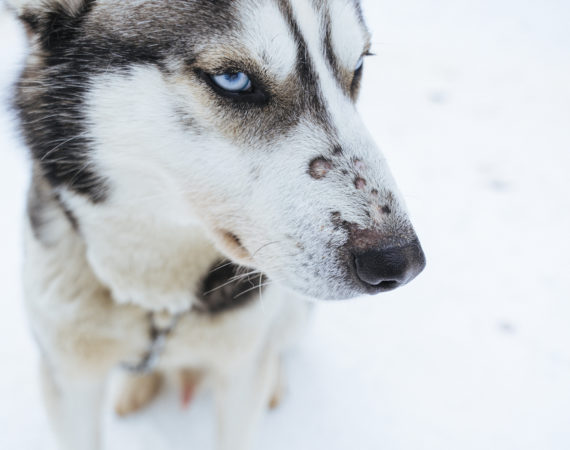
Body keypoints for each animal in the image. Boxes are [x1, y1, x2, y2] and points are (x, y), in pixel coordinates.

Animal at [6, 0, 424, 448]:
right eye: (233, 80)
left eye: (359, 66)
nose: (400, 262)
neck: (159, 299)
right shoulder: (68, 377)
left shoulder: (241, 370)